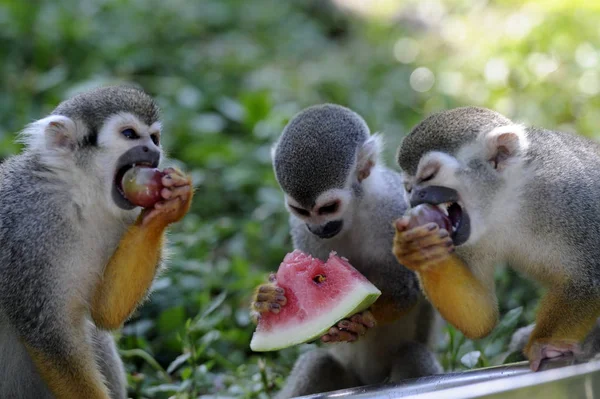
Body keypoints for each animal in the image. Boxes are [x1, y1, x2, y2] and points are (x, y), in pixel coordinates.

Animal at [0, 86, 193, 398]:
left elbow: (105, 312)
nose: (154, 151)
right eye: (129, 134)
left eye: (154, 138)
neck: (80, 198)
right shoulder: (24, 231)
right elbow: (46, 332)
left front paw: (170, 206)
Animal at [251, 104, 442, 398]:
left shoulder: (393, 209)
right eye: (300, 210)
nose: (318, 229)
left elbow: (405, 291)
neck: (354, 210)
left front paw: (364, 319)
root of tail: (367, 382)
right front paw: (265, 298)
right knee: (318, 363)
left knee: (414, 354)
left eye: (328, 208)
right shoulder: (299, 228)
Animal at [392, 105, 600, 372]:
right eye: (407, 186)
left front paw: (542, 345)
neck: (509, 199)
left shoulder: (574, 194)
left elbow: (587, 282)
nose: (413, 197)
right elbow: (481, 319)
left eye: (429, 175)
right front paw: (418, 249)